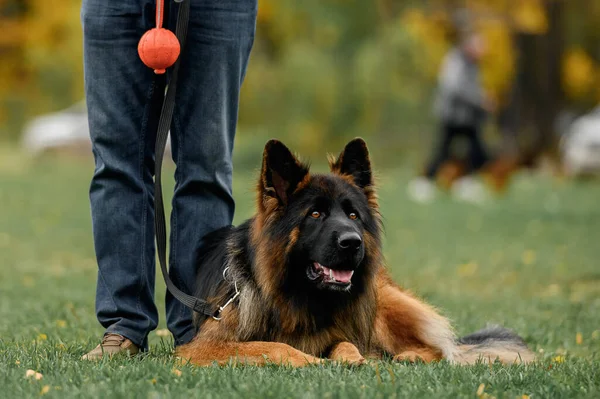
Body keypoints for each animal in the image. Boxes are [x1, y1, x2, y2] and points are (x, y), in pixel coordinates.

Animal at [176, 139, 532, 368]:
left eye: (352, 215)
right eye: (315, 214)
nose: (353, 243)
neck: (300, 297)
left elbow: (346, 343)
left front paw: (355, 359)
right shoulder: (202, 348)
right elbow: (273, 346)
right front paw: (312, 360)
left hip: (381, 303)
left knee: (440, 350)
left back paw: (408, 356)